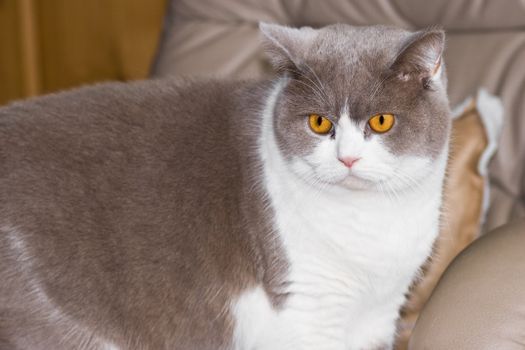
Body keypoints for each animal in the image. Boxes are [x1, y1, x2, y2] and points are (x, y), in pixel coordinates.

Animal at [0, 23, 450, 348]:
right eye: (320, 123)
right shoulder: (302, 305)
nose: (347, 158)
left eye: (381, 121)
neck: (369, 223)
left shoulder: (381, 313)